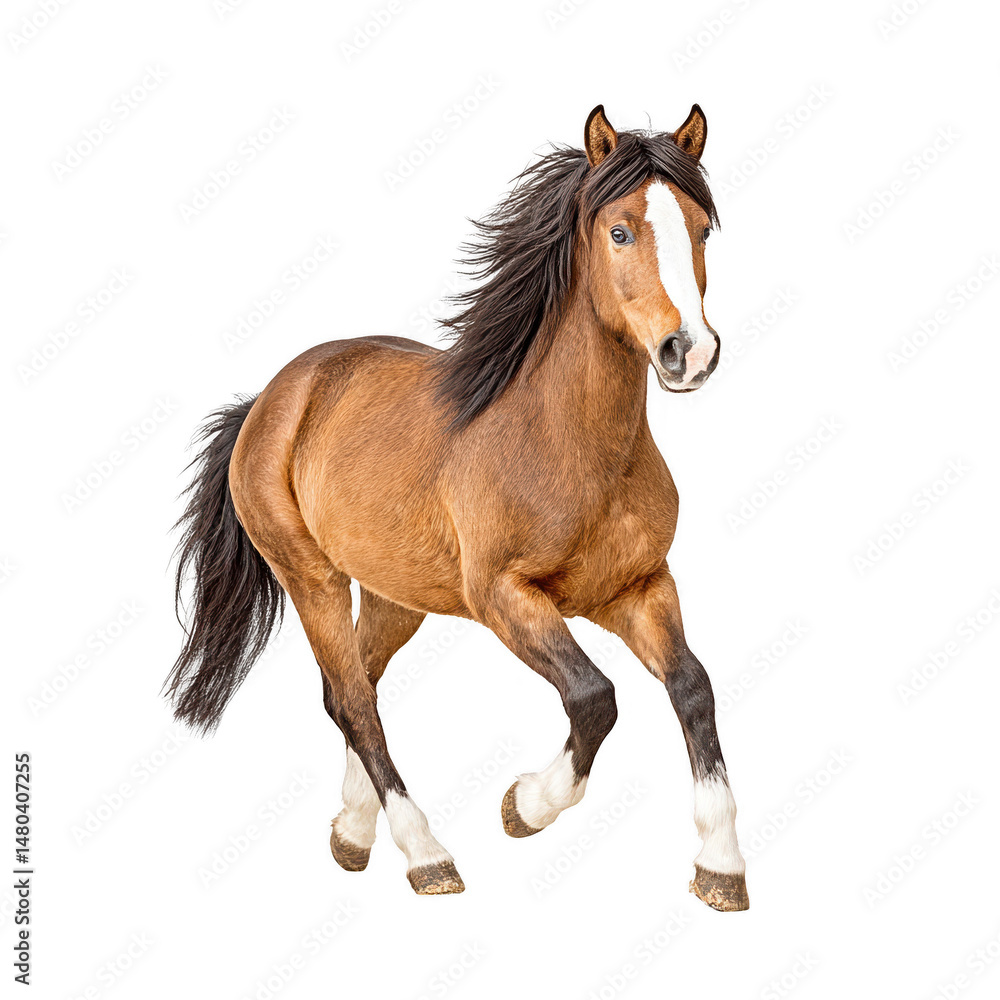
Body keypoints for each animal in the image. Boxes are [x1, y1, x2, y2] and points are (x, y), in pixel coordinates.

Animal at [166, 104, 749, 911]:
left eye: (700, 230)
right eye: (620, 231)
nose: (687, 352)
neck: (571, 444)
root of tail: (271, 398)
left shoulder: (637, 587)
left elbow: (693, 687)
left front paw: (721, 865)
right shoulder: (503, 595)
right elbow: (594, 697)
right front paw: (524, 807)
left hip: (395, 595)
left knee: (353, 690)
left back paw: (353, 835)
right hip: (312, 578)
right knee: (355, 704)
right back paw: (426, 855)